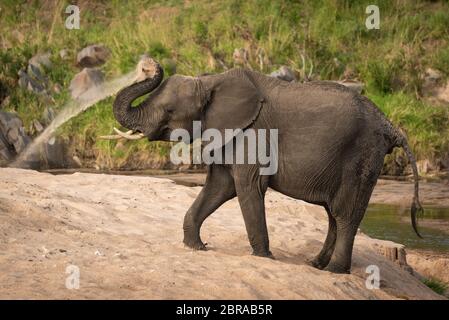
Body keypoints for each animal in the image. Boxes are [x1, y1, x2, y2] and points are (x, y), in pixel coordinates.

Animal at [110, 56, 422, 274]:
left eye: (169, 111)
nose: (148, 65)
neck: (209, 81)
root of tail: (391, 126)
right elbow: (219, 186)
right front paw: (197, 247)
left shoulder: (254, 133)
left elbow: (246, 186)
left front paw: (264, 257)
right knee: (334, 214)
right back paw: (316, 264)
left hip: (362, 156)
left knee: (345, 215)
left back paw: (334, 271)